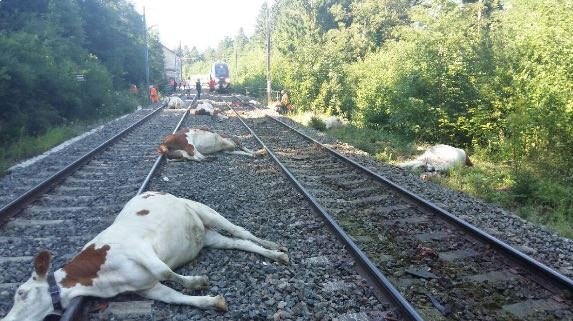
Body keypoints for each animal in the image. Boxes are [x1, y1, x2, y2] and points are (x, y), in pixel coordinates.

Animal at [0, 191, 286, 318]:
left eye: (21, 293)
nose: (8, 319)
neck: (101, 280)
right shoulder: (146, 288)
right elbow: (174, 297)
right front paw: (211, 301)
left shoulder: (139, 248)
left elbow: (164, 270)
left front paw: (198, 281)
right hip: (209, 238)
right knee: (238, 243)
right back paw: (273, 254)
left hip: (205, 211)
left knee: (241, 231)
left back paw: (275, 247)